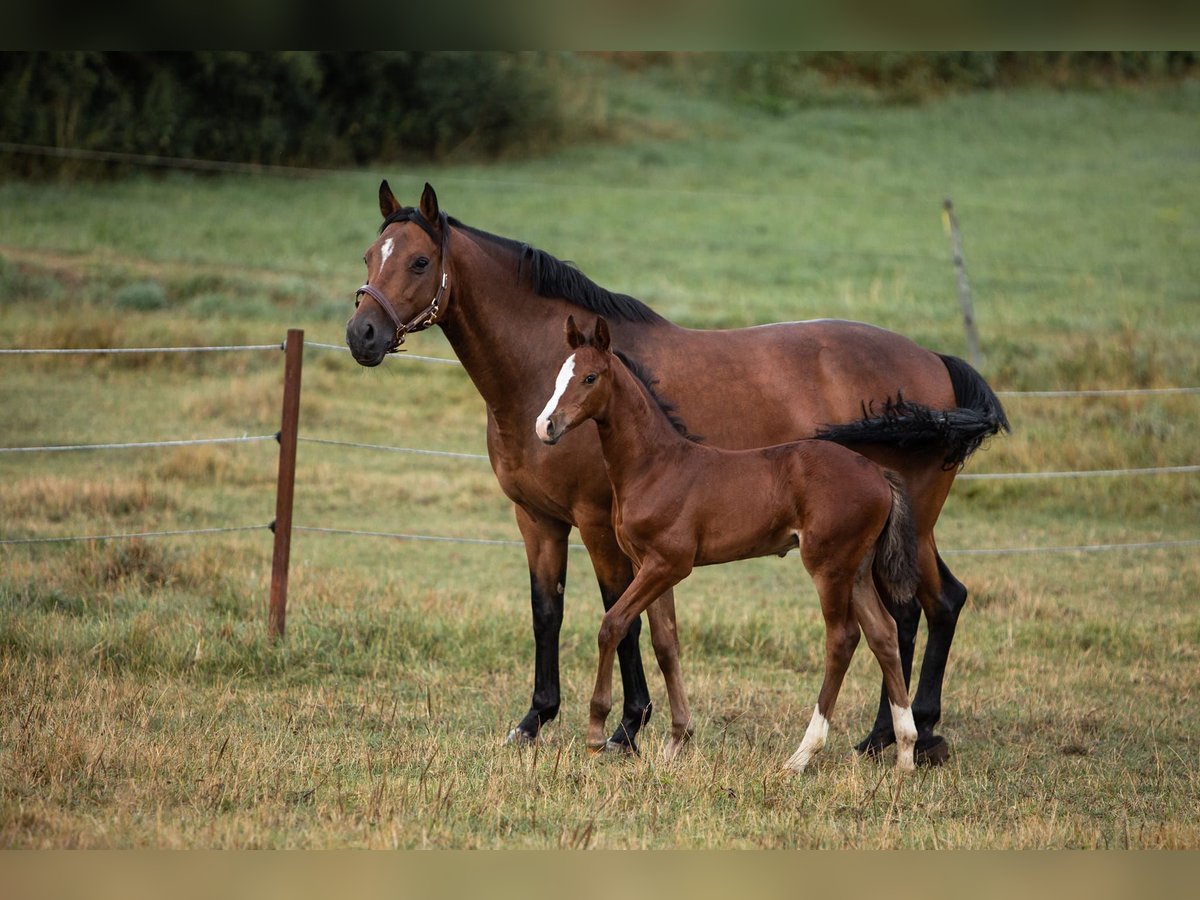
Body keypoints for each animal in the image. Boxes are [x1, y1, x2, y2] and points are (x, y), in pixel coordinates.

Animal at [540, 314, 921, 772]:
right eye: (558, 375)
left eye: (589, 377)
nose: (546, 426)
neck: (655, 466)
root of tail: (877, 472)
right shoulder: (650, 565)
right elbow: (666, 644)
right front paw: (676, 741)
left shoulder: (669, 563)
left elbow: (612, 624)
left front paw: (596, 733)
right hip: (858, 568)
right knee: (884, 634)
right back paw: (905, 753)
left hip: (829, 565)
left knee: (842, 638)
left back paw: (802, 754)